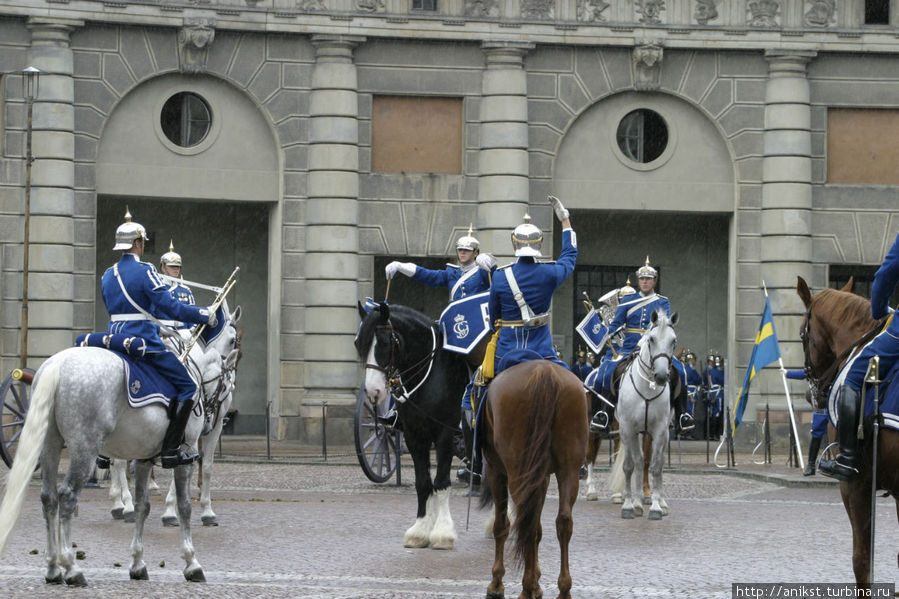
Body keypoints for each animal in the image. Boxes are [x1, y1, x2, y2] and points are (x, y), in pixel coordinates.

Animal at [0, 310, 239, 584]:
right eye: (233, 340)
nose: (216, 414)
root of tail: (55, 366)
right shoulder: (185, 452)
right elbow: (184, 506)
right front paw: (192, 562)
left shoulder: (145, 457)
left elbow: (143, 506)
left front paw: (137, 563)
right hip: (85, 448)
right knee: (67, 496)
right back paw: (71, 567)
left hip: (50, 445)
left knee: (49, 497)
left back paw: (52, 568)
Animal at [356, 302, 472, 552]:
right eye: (358, 343)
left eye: (385, 342)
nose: (373, 391)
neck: (432, 376)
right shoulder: (415, 436)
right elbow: (423, 483)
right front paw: (420, 530)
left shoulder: (445, 434)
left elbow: (441, 482)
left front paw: (443, 533)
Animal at [478, 360, 592, 599]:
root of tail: (543, 371)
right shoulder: (542, 477)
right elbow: (538, 529)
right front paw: (537, 583)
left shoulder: (495, 471)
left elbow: (501, 525)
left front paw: (497, 583)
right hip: (568, 469)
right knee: (563, 522)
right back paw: (563, 589)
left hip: (517, 472)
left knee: (525, 523)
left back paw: (526, 587)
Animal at [616, 312, 680, 524]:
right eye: (651, 339)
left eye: (673, 341)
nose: (660, 376)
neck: (647, 387)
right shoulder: (627, 429)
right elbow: (629, 466)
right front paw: (628, 506)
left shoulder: (659, 430)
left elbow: (655, 467)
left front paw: (656, 507)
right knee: (637, 461)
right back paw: (636, 503)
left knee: (651, 463)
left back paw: (660, 502)